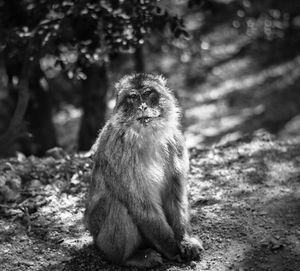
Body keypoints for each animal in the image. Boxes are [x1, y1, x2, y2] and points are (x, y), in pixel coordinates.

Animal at [83, 73, 203, 268]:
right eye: (132, 97)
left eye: (148, 93)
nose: (143, 106)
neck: (148, 137)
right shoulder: (118, 151)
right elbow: (141, 205)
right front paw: (172, 249)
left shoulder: (176, 141)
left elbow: (175, 194)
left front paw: (185, 241)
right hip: (103, 242)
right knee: (117, 205)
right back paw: (131, 258)